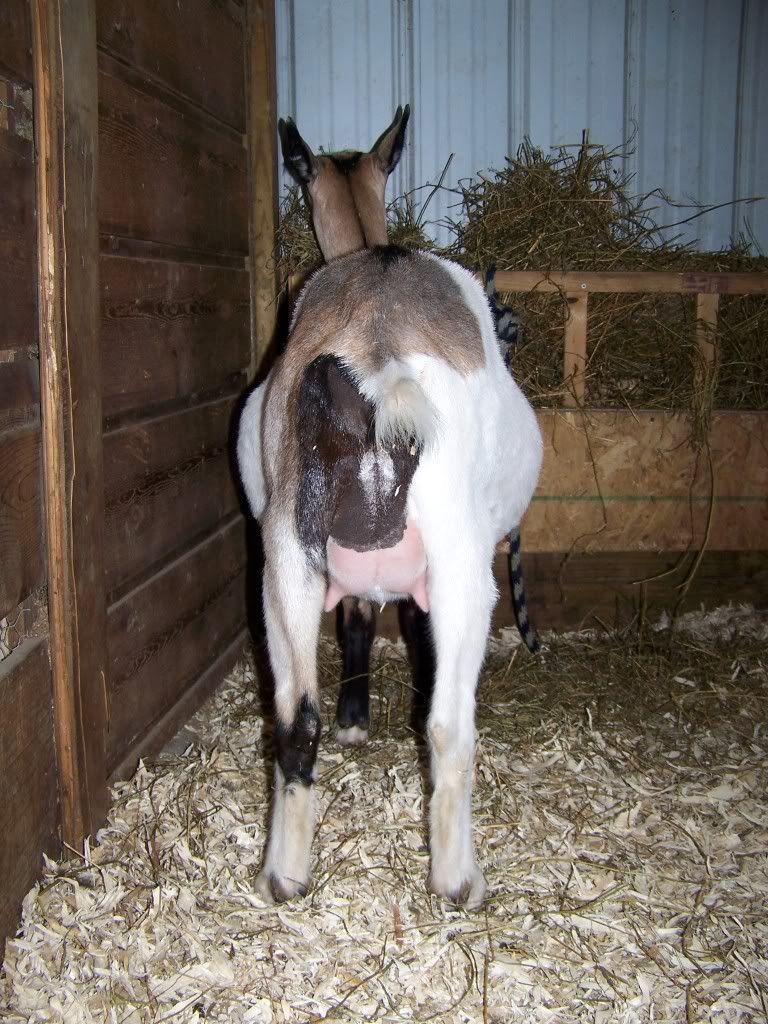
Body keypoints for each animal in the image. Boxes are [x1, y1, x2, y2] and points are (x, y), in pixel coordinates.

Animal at [238, 118, 543, 909]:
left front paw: (354, 721)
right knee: (447, 726)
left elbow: (356, 619)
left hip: (284, 562)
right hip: (464, 568)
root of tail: (377, 358)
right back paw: (459, 879)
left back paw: (284, 873)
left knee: (294, 719)